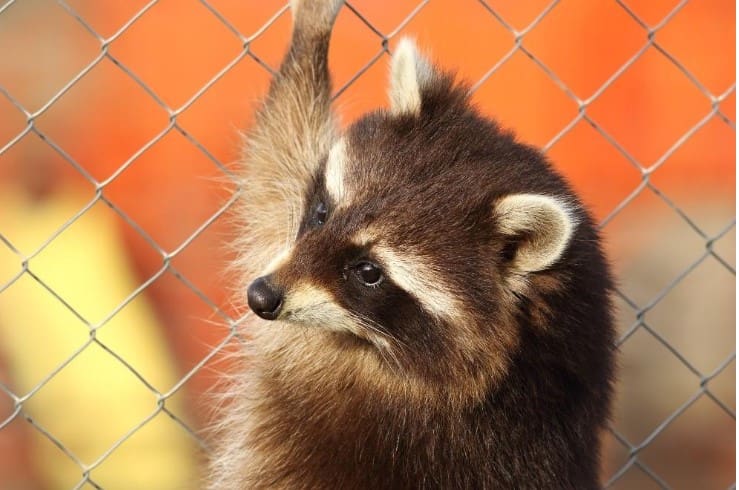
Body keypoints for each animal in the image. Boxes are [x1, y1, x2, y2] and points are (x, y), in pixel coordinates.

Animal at [208, 0, 615, 488]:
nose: (260, 296)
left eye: (369, 272)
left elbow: (274, 168)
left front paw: (310, 39)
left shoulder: (324, 364)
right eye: (322, 213)